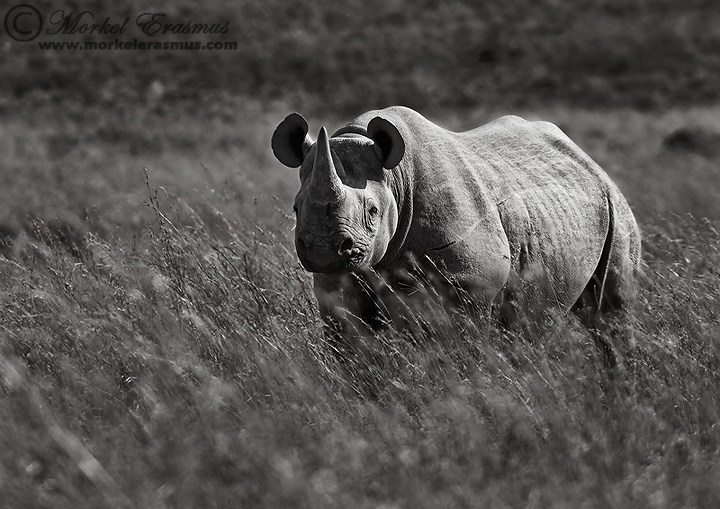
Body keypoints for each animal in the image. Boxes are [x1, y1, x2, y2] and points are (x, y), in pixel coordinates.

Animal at [272, 106, 641, 365]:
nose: (323, 250)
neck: (395, 178)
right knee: (530, 323)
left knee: (611, 311)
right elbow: (353, 351)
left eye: (373, 212)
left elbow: (460, 352)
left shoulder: (471, 281)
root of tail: (586, 158)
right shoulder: (336, 289)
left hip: (614, 202)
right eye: (295, 208)